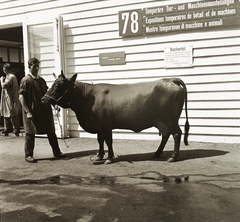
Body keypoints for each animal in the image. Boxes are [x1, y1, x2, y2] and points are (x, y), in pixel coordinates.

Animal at [41, 72, 189, 164]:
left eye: (57, 86)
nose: (43, 99)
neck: (87, 97)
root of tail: (170, 80)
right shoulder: (99, 125)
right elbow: (100, 140)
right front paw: (99, 156)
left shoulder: (105, 124)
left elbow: (108, 140)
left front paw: (109, 158)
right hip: (160, 120)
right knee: (166, 133)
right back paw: (157, 153)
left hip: (171, 118)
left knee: (176, 133)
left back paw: (173, 157)